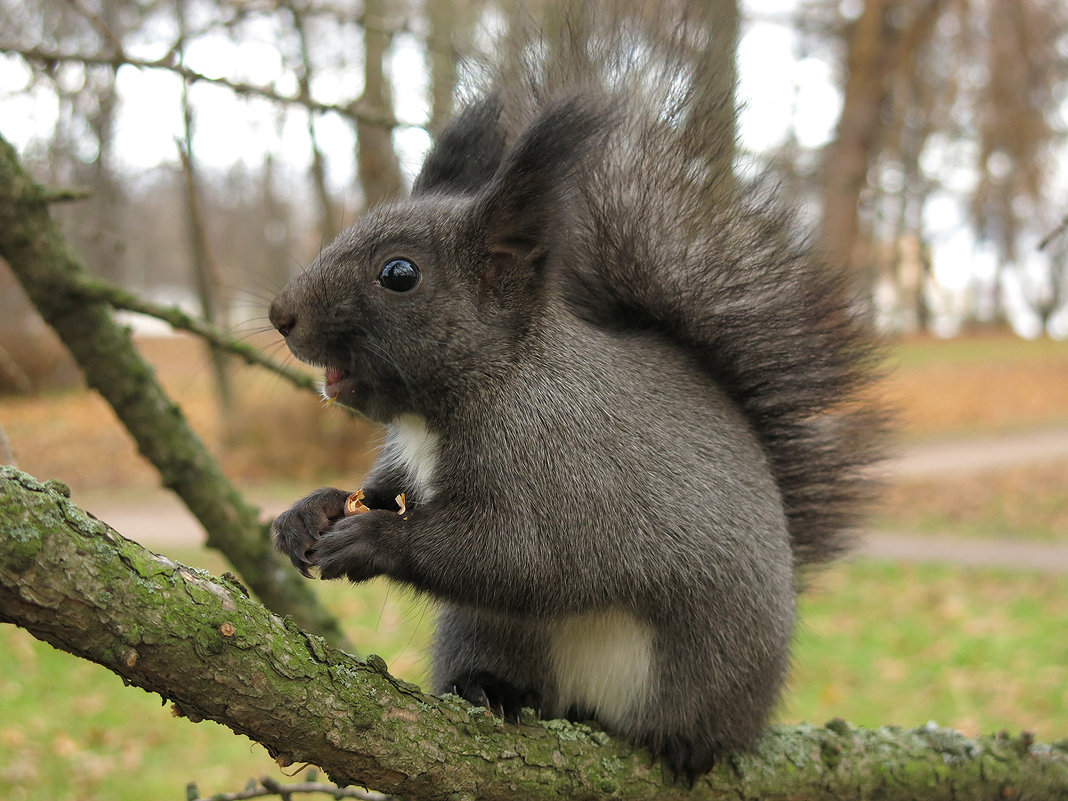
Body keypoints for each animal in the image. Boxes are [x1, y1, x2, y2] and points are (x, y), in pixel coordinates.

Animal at [267, 3, 884, 786]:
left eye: (399, 274)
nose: (281, 314)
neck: (485, 386)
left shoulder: (565, 470)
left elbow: (520, 556)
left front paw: (375, 539)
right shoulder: (406, 461)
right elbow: (379, 489)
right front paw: (308, 512)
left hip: (713, 662)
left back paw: (690, 744)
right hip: (489, 633)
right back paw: (492, 689)